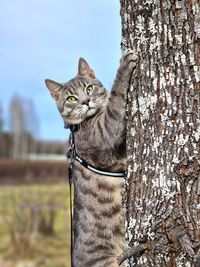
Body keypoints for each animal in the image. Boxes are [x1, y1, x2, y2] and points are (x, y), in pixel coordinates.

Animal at [44, 50, 137, 267]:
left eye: (89, 87)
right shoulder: (104, 134)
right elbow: (115, 102)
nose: (86, 101)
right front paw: (123, 67)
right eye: (71, 98)